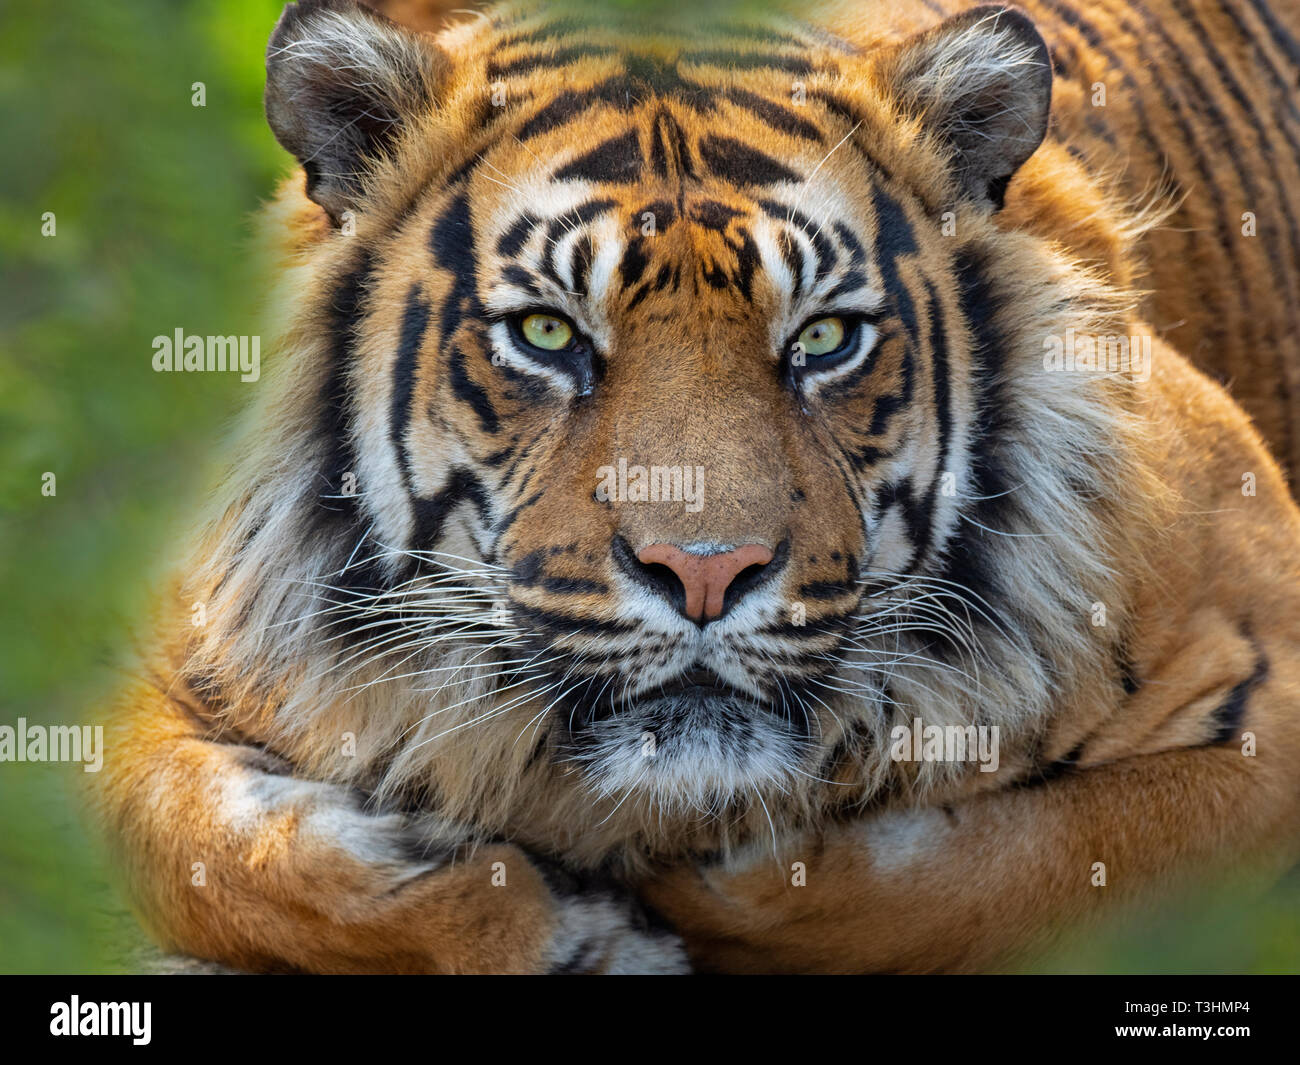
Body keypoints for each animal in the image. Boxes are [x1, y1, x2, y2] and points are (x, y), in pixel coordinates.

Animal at [89, 0, 1300, 973]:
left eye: (824, 339)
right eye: (546, 334)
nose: (706, 573)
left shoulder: (1265, 684)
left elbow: (996, 869)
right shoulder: (171, 680)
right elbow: (229, 850)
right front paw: (569, 934)